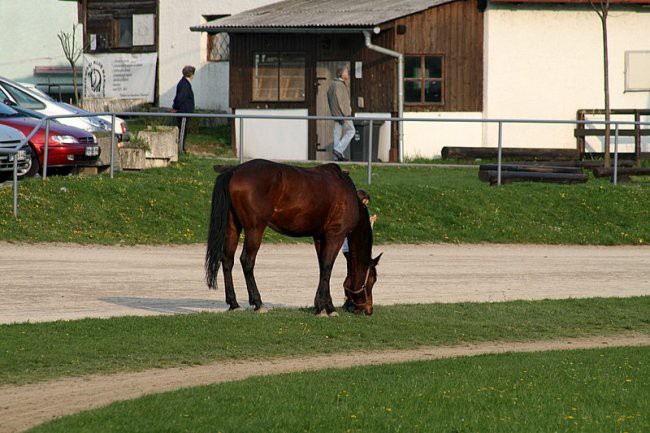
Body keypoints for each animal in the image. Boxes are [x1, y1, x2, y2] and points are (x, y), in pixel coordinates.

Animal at [205, 159, 380, 314]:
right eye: (372, 280)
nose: (368, 310)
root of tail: (234, 171)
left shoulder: (319, 236)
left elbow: (322, 268)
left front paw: (320, 305)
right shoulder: (336, 235)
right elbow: (327, 267)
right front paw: (328, 308)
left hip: (233, 226)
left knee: (227, 259)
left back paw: (233, 303)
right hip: (254, 228)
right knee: (247, 260)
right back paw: (258, 303)